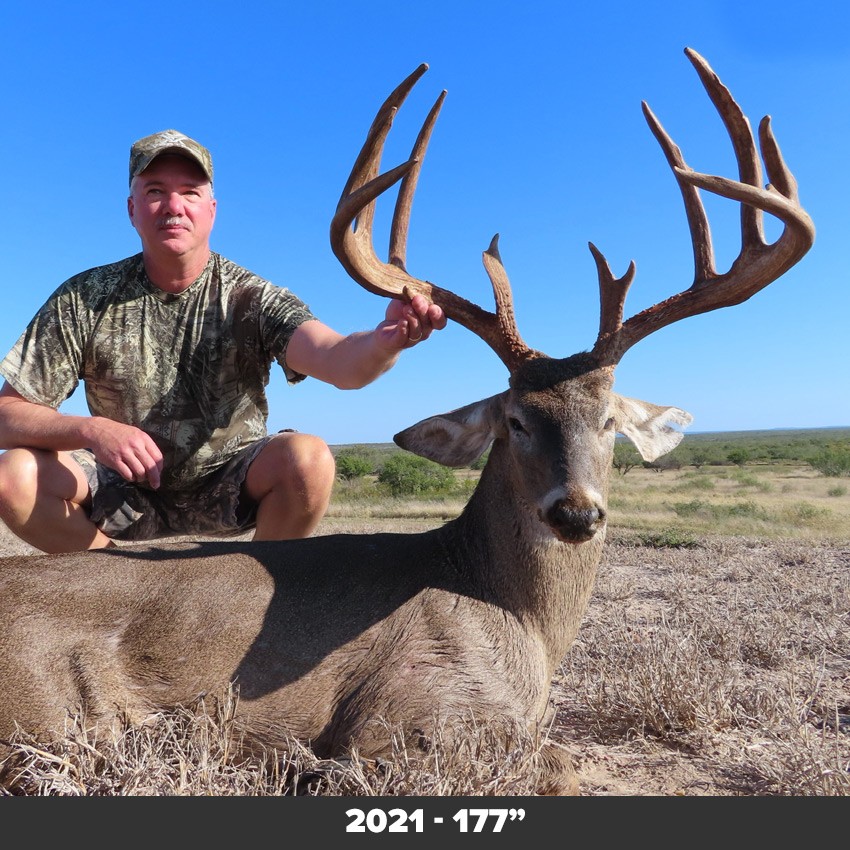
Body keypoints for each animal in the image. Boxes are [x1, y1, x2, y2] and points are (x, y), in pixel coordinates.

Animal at [0, 48, 813, 795]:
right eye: (516, 420)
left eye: (610, 420)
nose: (576, 512)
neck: (514, 614)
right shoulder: (409, 714)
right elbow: (558, 766)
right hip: (52, 713)